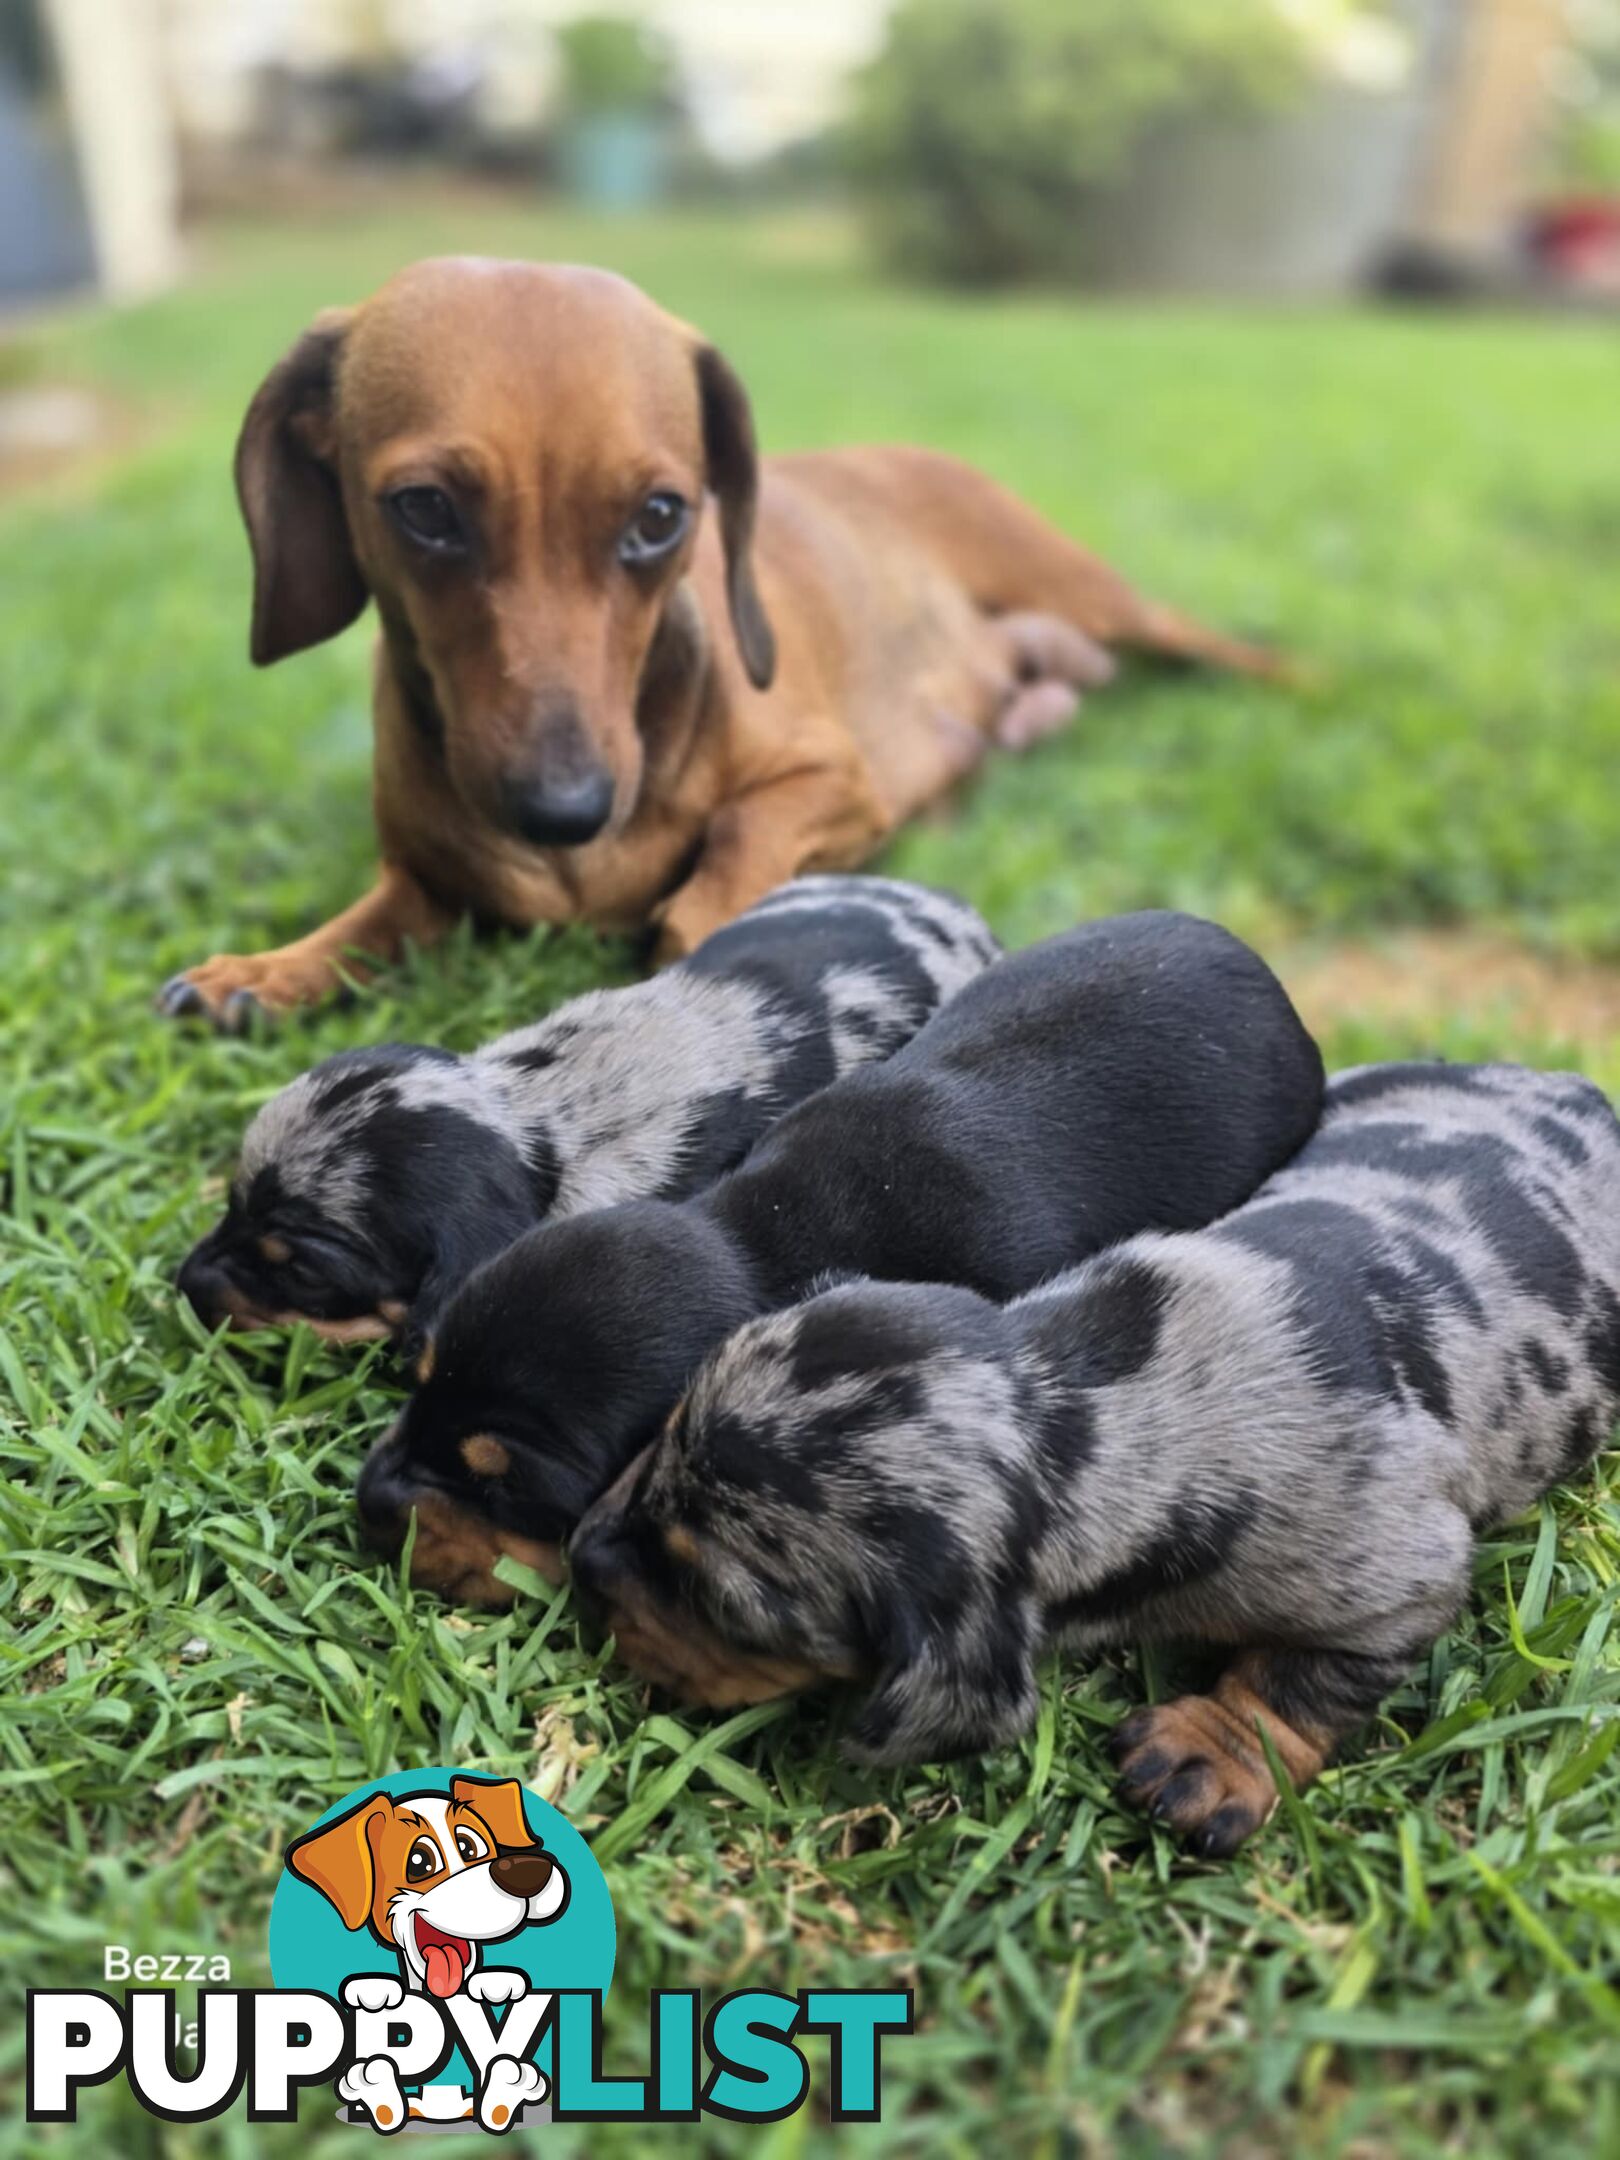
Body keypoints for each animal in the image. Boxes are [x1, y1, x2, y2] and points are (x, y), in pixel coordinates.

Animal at [570, 1062, 1620, 1857]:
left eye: (716, 1602)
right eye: (662, 1432)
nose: (579, 1558)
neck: (1092, 1396)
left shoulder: (1398, 1584)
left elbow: (1296, 1681)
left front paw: (1214, 1753)